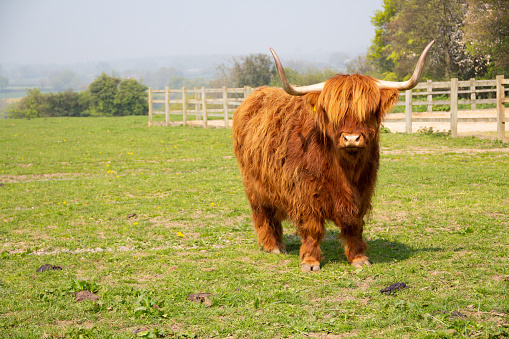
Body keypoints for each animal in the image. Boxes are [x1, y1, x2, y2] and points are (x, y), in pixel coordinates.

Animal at [232, 41, 430, 272]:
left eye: (369, 111)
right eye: (333, 113)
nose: (352, 138)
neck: (344, 168)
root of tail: (256, 94)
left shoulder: (362, 191)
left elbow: (354, 225)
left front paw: (358, 257)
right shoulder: (305, 193)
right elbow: (312, 228)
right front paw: (310, 261)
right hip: (254, 185)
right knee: (263, 214)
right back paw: (273, 246)